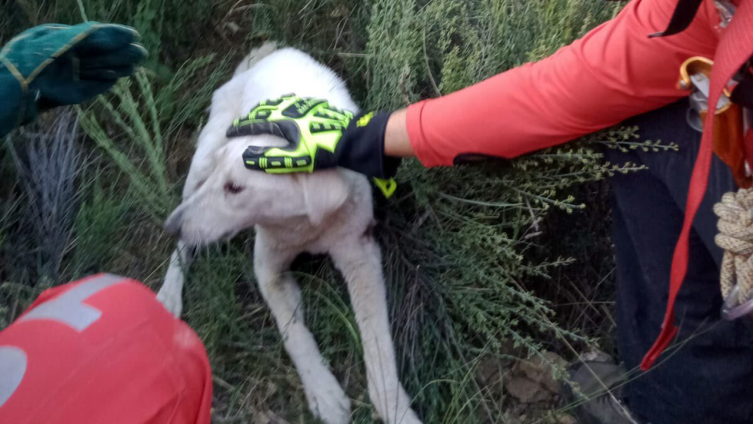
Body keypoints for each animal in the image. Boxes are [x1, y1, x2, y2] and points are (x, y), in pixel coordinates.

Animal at [158, 44, 424, 424]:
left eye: (236, 187)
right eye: (223, 182)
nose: (170, 226)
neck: (306, 224)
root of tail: (270, 52)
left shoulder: (361, 258)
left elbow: (379, 342)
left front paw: (397, 410)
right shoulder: (268, 270)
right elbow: (294, 333)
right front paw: (325, 392)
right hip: (201, 163)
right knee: (184, 244)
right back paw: (169, 293)